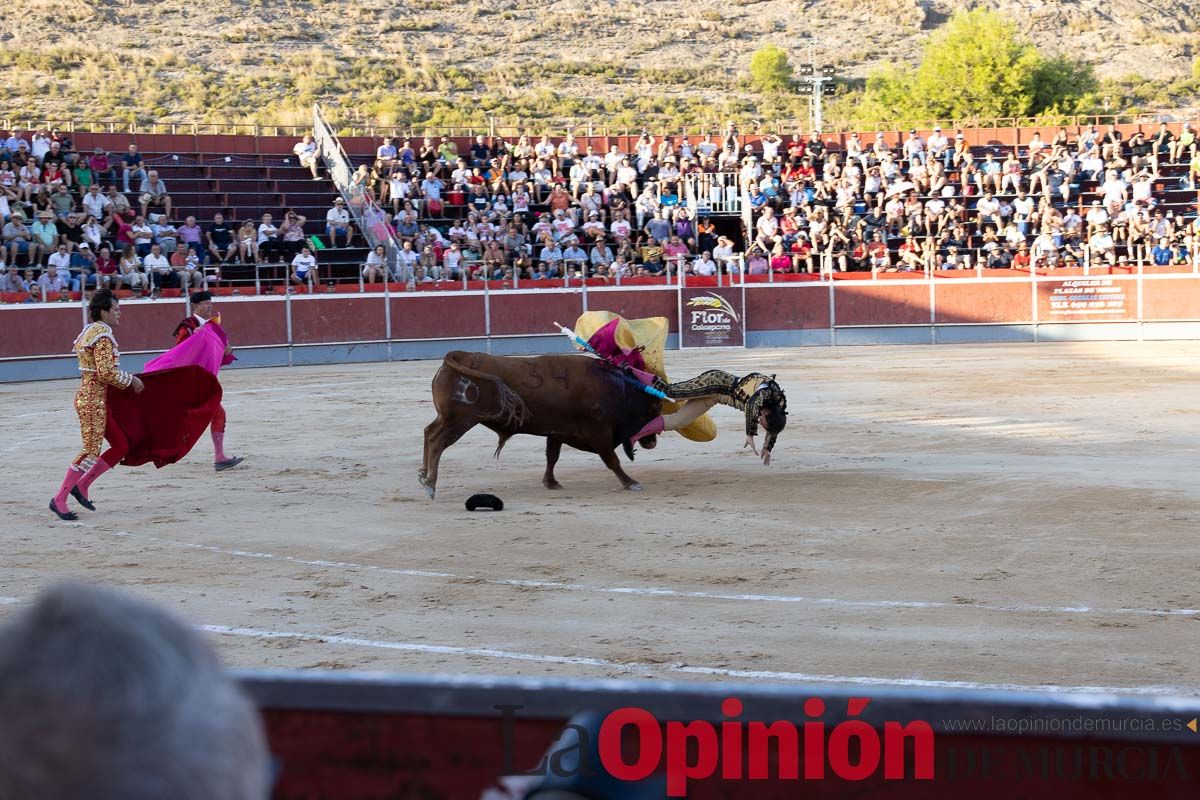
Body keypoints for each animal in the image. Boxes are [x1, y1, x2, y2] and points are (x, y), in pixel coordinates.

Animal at [417, 352, 662, 501]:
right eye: (653, 409)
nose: (652, 442)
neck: (616, 389)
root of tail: (461, 355)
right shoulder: (598, 433)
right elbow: (612, 460)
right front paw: (631, 483)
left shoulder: (557, 431)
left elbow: (552, 456)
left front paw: (551, 482)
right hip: (459, 420)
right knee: (437, 441)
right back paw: (430, 484)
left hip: (446, 418)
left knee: (429, 432)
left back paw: (423, 474)